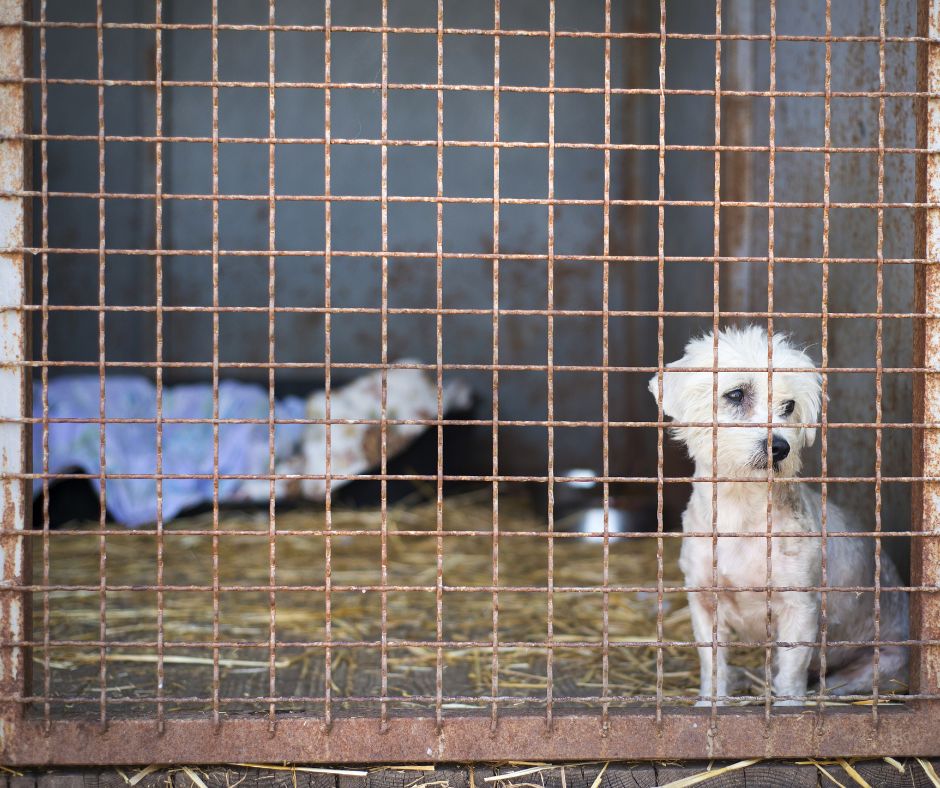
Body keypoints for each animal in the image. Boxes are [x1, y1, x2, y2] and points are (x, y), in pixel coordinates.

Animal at [648, 324, 908, 704]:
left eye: (789, 406)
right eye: (736, 394)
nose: (780, 447)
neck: (741, 512)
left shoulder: (799, 608)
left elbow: (792, 673)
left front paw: (787, 707)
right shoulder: (704, 601)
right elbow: (713, 665)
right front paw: (712, 701)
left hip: (872, 668)